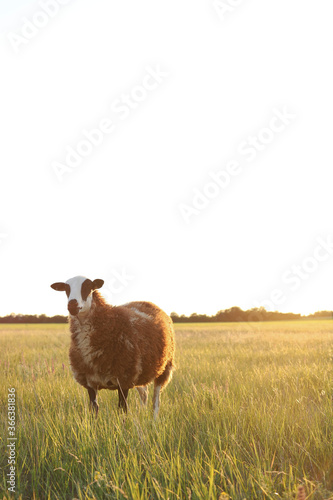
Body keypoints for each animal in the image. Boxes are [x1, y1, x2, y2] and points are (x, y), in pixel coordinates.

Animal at [50, 276, 175, 416]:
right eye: (66, 288)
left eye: (88, 286)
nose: (72, 304)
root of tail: (147, 302)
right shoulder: (90, 382)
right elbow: (94, 410)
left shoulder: (124, 380)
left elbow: (122, 409)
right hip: (141, 372)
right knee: (144, 393)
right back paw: (141, 413)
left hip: (164, 368)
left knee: (156, 401)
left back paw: (154, 419)